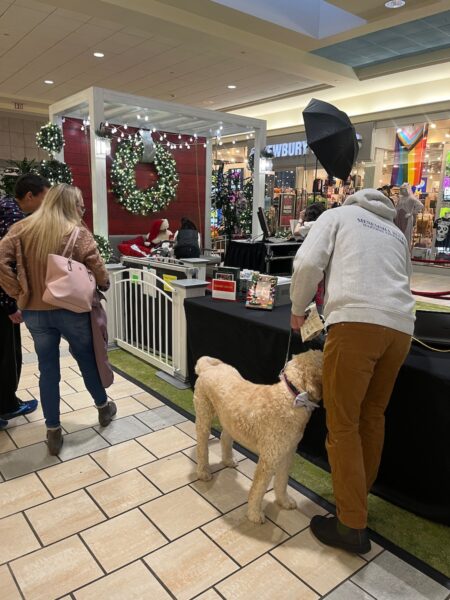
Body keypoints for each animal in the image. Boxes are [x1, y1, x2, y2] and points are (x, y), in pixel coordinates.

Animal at [194, 350, 324, 524]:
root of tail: (208, 368)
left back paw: (228, 460)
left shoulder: (287, 453)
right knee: (202, 446)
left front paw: (284, 501)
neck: (292, 397)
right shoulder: (269, 458)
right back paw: (203, 472)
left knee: (224, 437)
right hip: (204, 415)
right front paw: (255, 514)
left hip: (229, 420)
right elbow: (259, 488)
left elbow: (282, 481)